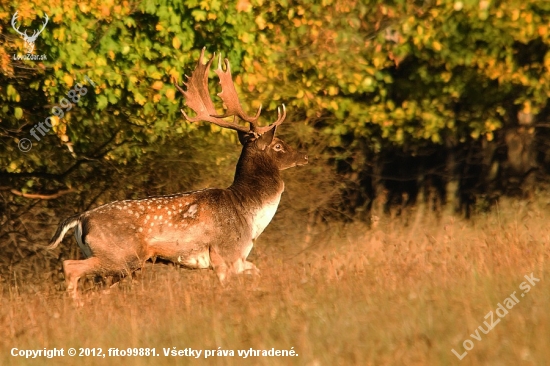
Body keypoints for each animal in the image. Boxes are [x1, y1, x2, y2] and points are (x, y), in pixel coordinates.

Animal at [48, 48, 310, 300]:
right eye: (278, 145)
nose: (304, 156)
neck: (249, 214)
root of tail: (81, 218)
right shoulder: (225, 253)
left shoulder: (238, 259)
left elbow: (257, 272)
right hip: (120, 255)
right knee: (70, 267)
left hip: (122, 265)